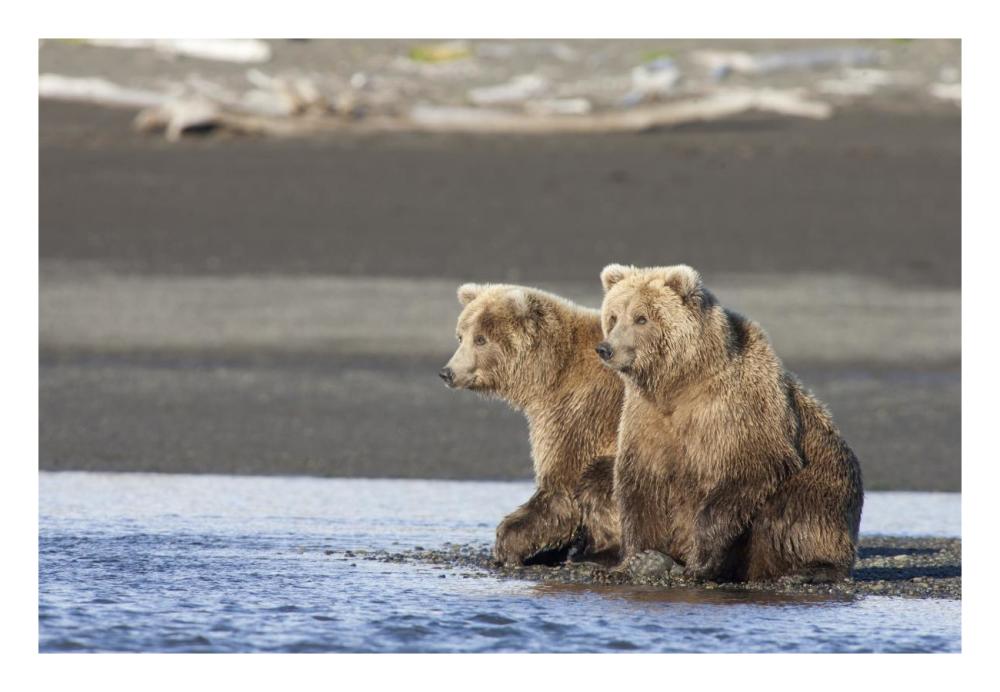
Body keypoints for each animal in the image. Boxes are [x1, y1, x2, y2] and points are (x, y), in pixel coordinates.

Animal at [440, 283, 624, 566]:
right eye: (461, 336)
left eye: (480, 339)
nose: (448, 372)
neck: (549, 374)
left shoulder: (580, 410)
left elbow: (562, 485)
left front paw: (509, 544)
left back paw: (598, 553)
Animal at [596, 263, 863, 582]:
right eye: (613, 316)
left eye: (641, 317)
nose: (606, 349)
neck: (678, 384)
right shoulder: (645, 419)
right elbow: (640, 487)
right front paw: (636, 560)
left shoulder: (736, 411)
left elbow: (743, 474)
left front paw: (697, 564)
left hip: (824, 482)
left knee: (793, 517)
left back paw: (808, 570)